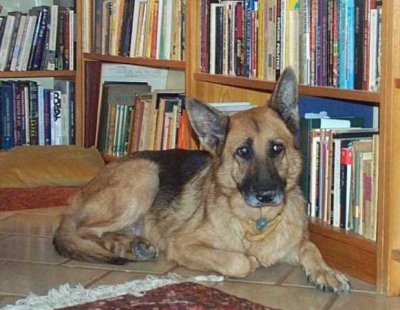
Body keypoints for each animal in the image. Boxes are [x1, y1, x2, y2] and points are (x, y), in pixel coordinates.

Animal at [52, 68, 350, 294]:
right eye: (243, 152)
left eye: (277, 148)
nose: (266, 194)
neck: (257, 221)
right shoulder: (184, 244)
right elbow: (240, 262)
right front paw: (250, 260)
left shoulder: (295, 242)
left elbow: (310, 247)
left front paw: (326, 271)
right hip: (145, 176)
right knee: (84, 231)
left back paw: (133, 243)